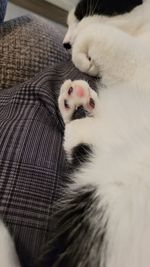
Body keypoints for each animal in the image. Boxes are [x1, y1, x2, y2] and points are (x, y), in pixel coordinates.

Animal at [1, 0, 150, 266]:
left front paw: (81, 53)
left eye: (79, 14)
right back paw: (78, 103)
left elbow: (95, 33)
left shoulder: (138, 59)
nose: (65, 42)